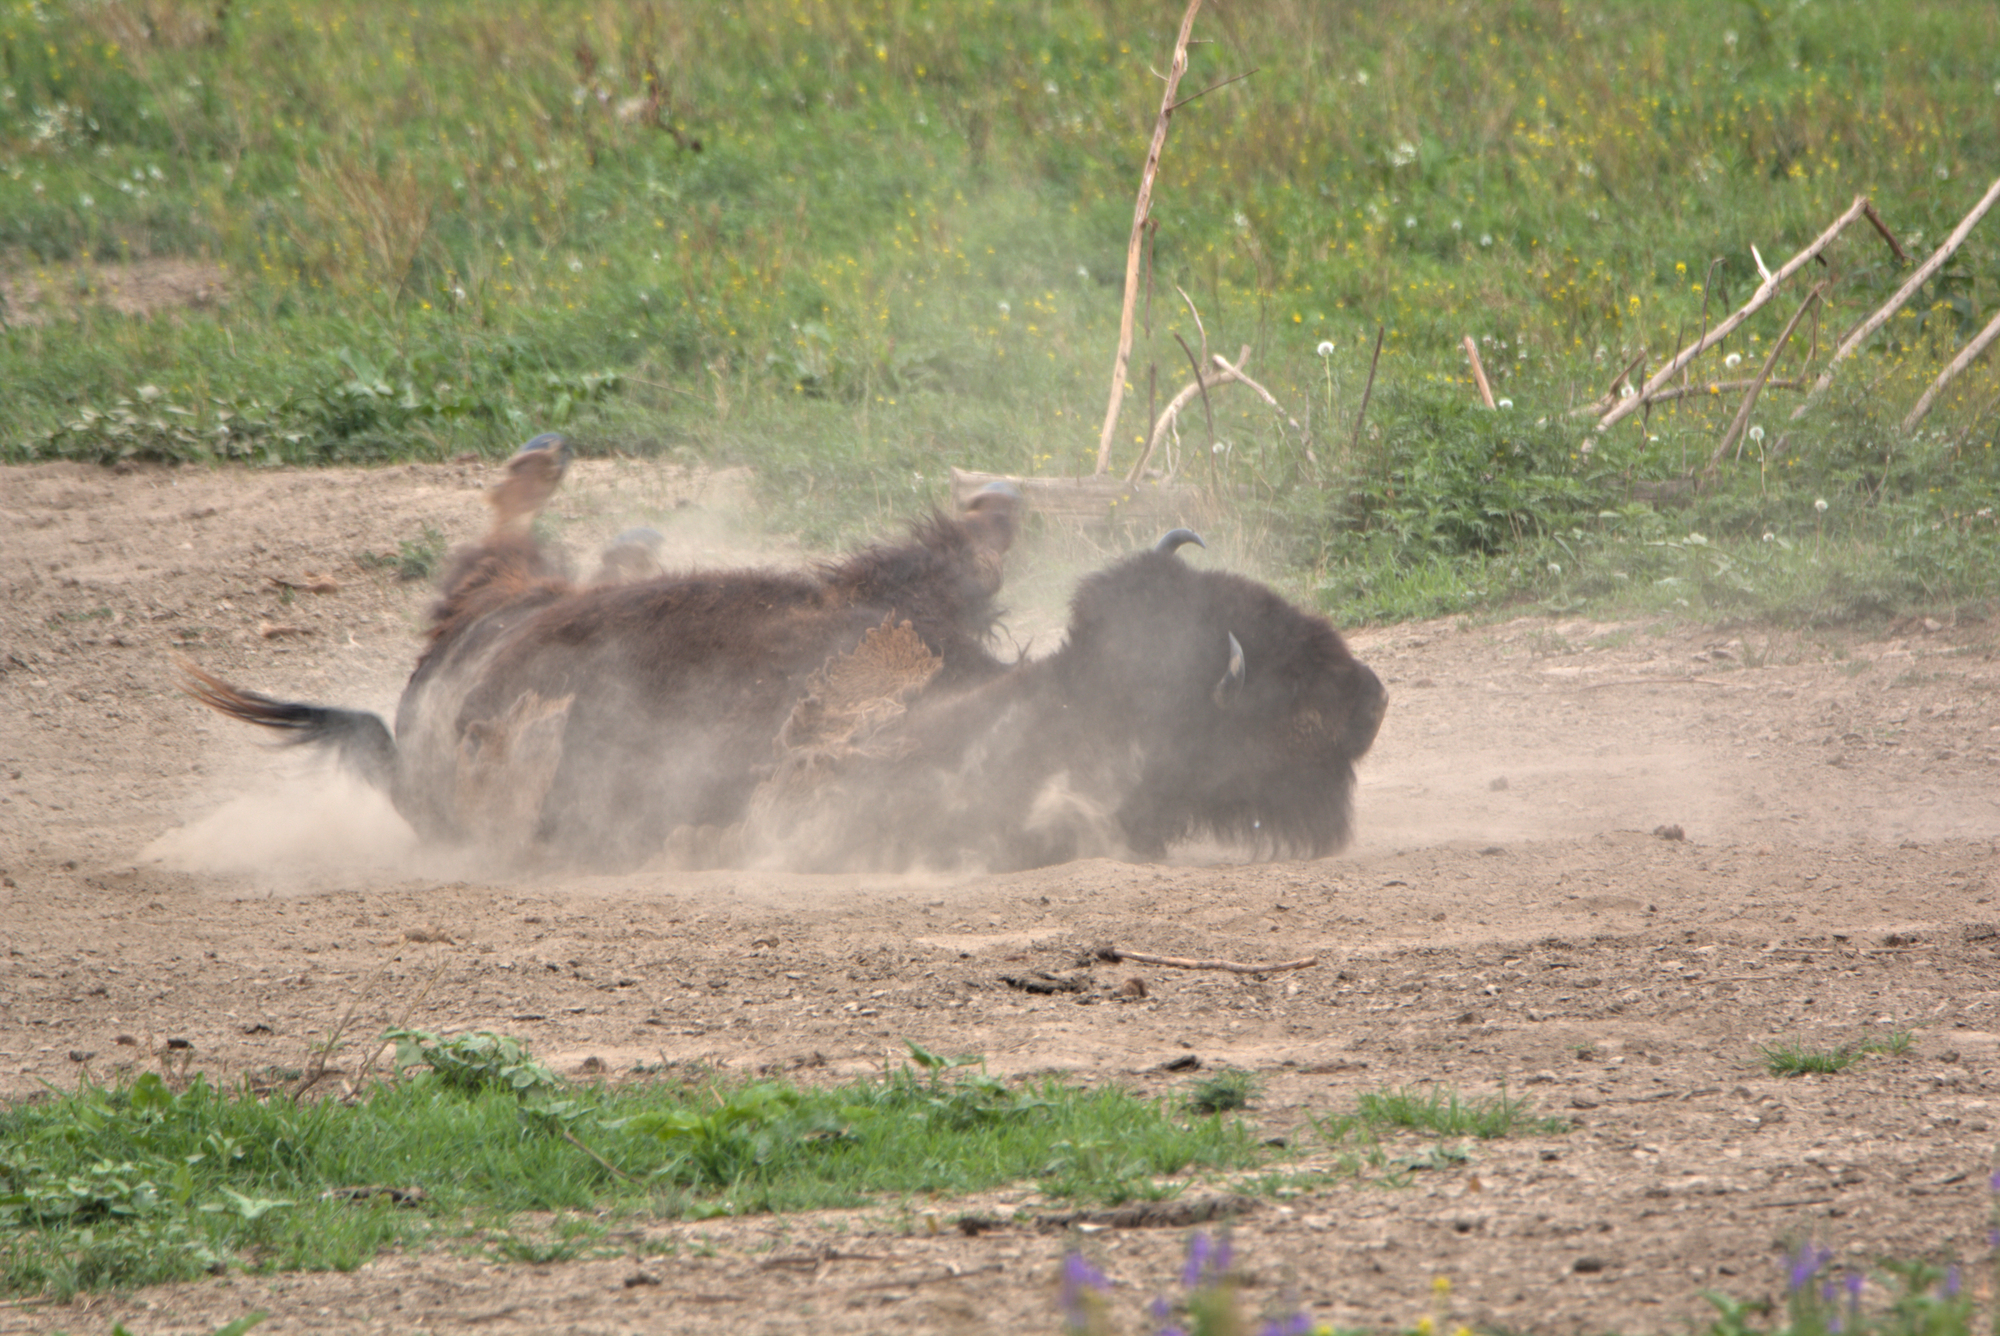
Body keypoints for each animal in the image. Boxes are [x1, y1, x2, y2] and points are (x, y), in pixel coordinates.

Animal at [184, 434, 1023, 869]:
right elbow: (972, 553)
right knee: (505, 545)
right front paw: (993, 496)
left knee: (504, 557)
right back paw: (557, 467)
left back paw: (594, 506)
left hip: (510, 613)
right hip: (517, 607)